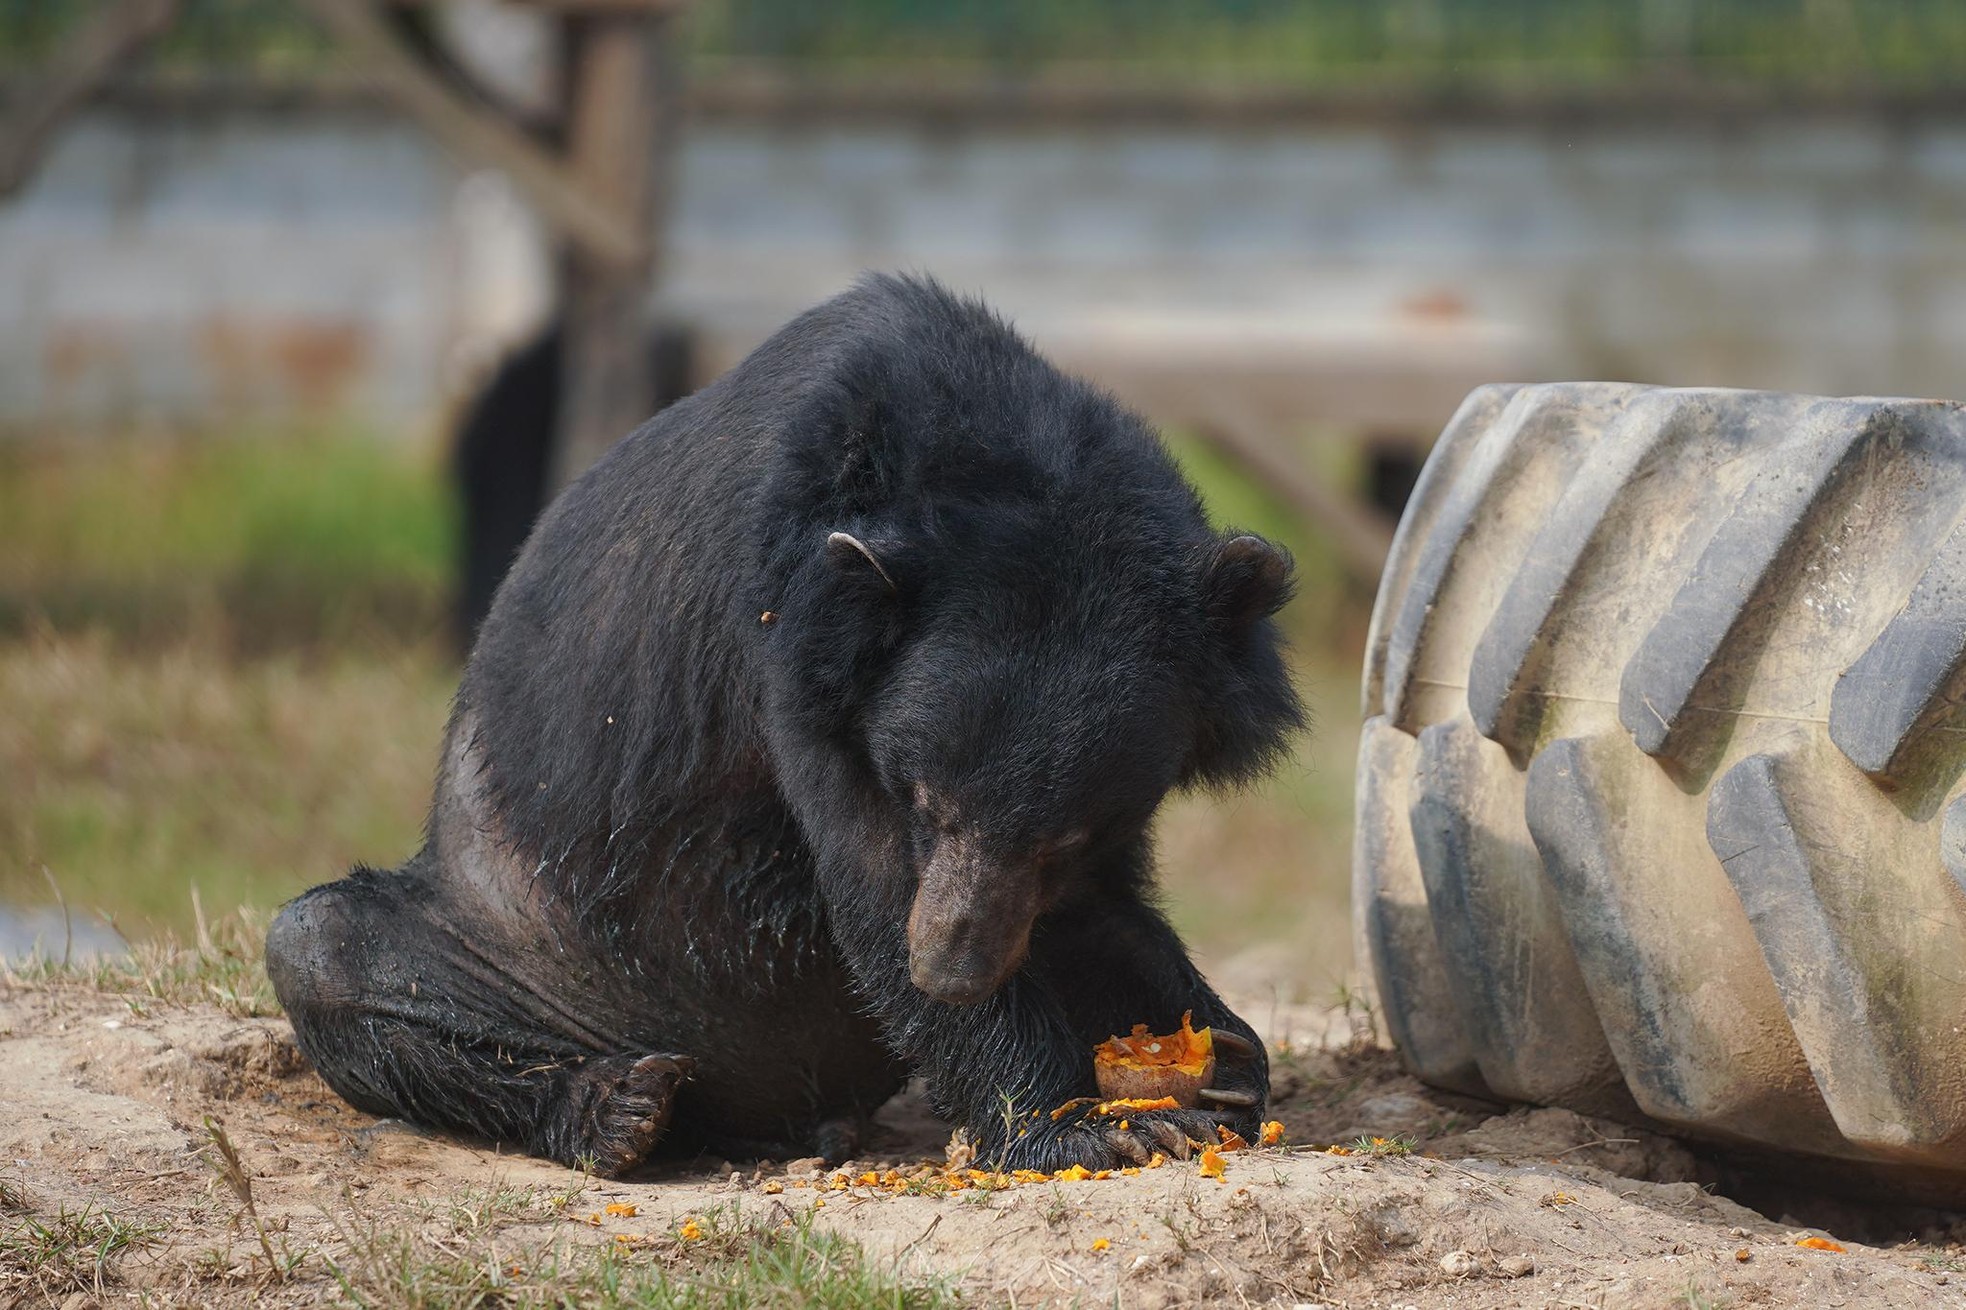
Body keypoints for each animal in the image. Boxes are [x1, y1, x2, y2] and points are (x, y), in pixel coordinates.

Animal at [265, 273, 1305, 1172]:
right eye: (926, 801)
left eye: (1069, 835)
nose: (950, 972)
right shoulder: (792, 654)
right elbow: (875, 884)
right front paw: (1092, 1128)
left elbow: (1093, 914)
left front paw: (1223, 1064)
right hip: (521, 932)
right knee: (323, 945)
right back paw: (621, 1109)